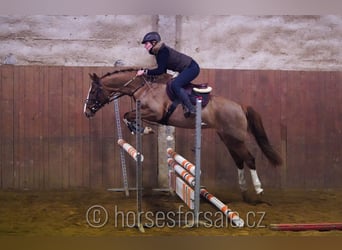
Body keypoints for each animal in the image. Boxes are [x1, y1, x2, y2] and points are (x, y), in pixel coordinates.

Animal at [84, 67, 282, 201]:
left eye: (94, 91)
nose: (86, 112)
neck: (143, 88)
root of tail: (240, 106)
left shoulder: (155, 113)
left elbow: (127, 115)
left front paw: (143, 129)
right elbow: (127, 116)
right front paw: (141, 129)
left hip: (236, 138)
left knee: (250, 159)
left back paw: (258, 190)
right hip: (228, 138)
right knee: (239, 160)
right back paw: (244, 191)